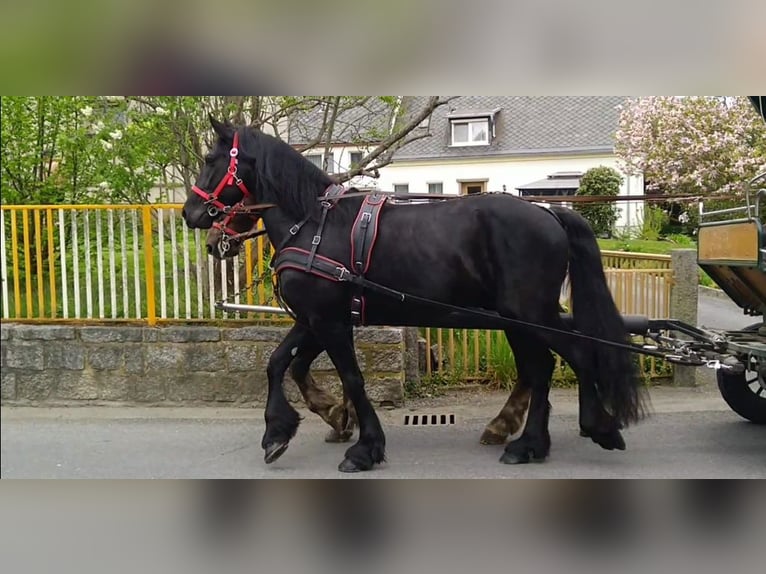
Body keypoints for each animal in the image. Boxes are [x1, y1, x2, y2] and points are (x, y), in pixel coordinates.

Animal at [182, 116, 648, 473]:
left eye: (210, 160)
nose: (191, 214)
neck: (312, 224)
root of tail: (548, 212)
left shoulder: (329, 321)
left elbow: (351, 377)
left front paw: (364, 448)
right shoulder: (314, 319)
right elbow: (280, 364)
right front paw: (289, 428)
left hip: (530, 313)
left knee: (573, 355)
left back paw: (589, 428)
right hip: (518, 318)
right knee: (542, 366)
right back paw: (531, 440)